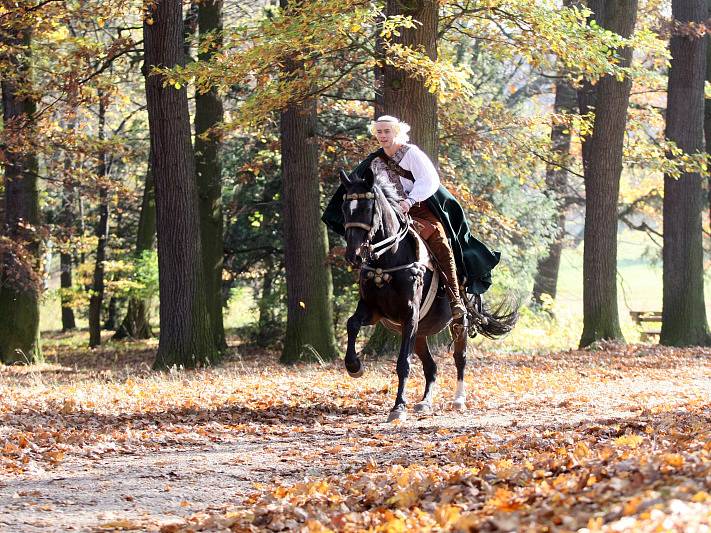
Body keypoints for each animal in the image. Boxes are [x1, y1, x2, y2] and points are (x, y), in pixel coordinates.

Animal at [340, 169, 516, 420]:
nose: (353, 256)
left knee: (460, 358)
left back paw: (458, 399)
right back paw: (425, 402)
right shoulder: (372, 310)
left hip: (456, 322)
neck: (388, 260)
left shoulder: (409, 315)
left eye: (366, 209)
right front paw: (354, 366)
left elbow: (403, 362)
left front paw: (398, 406)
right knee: (431, 367)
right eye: (345, 209)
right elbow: (352, 324)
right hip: (420, 333)